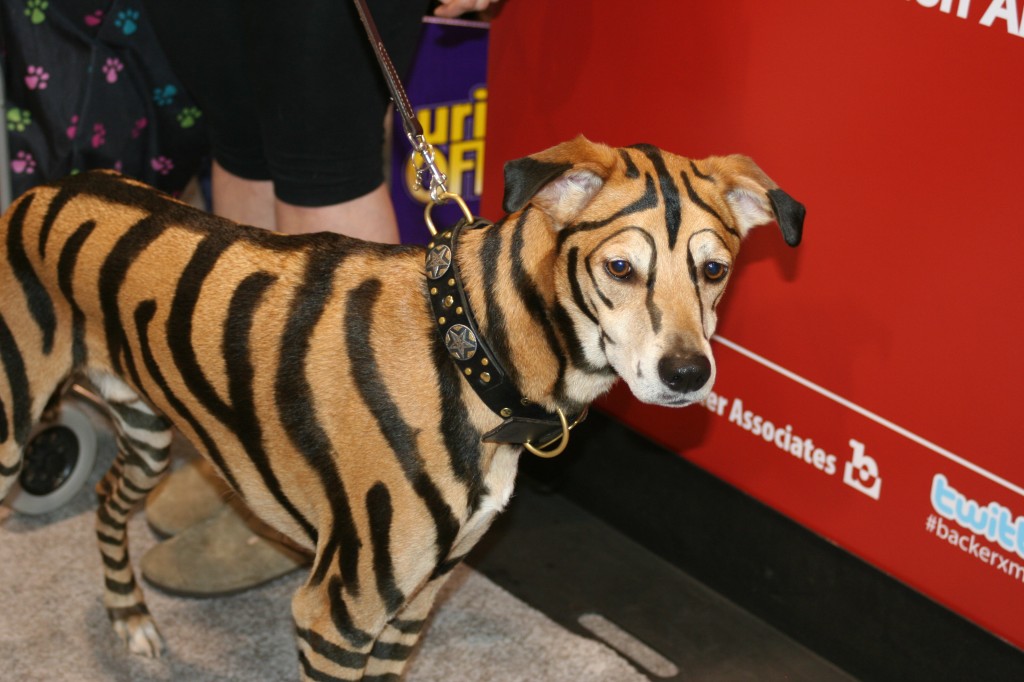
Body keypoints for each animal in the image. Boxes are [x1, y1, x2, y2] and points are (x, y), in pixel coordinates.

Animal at [0, 135, 804, 680]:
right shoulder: (337, 618)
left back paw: (129, 619)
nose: (688, 374)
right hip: (14, 437)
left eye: (714, 270)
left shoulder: (412, 608)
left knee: (107, 499)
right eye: (619, 268)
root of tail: (43, 188)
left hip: (147, 435)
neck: (469, 351)